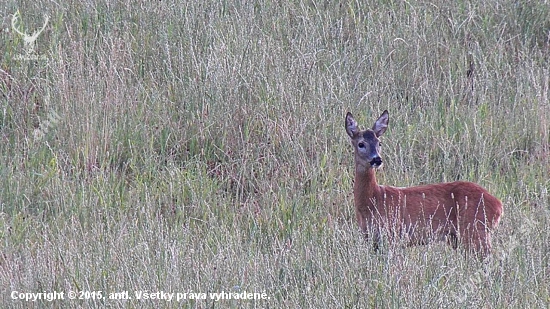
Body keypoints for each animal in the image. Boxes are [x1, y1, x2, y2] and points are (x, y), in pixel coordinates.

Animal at [350, 109, 504, 256]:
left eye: (379, 143)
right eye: (361, 144)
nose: (377, 159)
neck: (373, 198)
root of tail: (498, 205)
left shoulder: (392, 233)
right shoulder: (371, 239)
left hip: (475, 228)